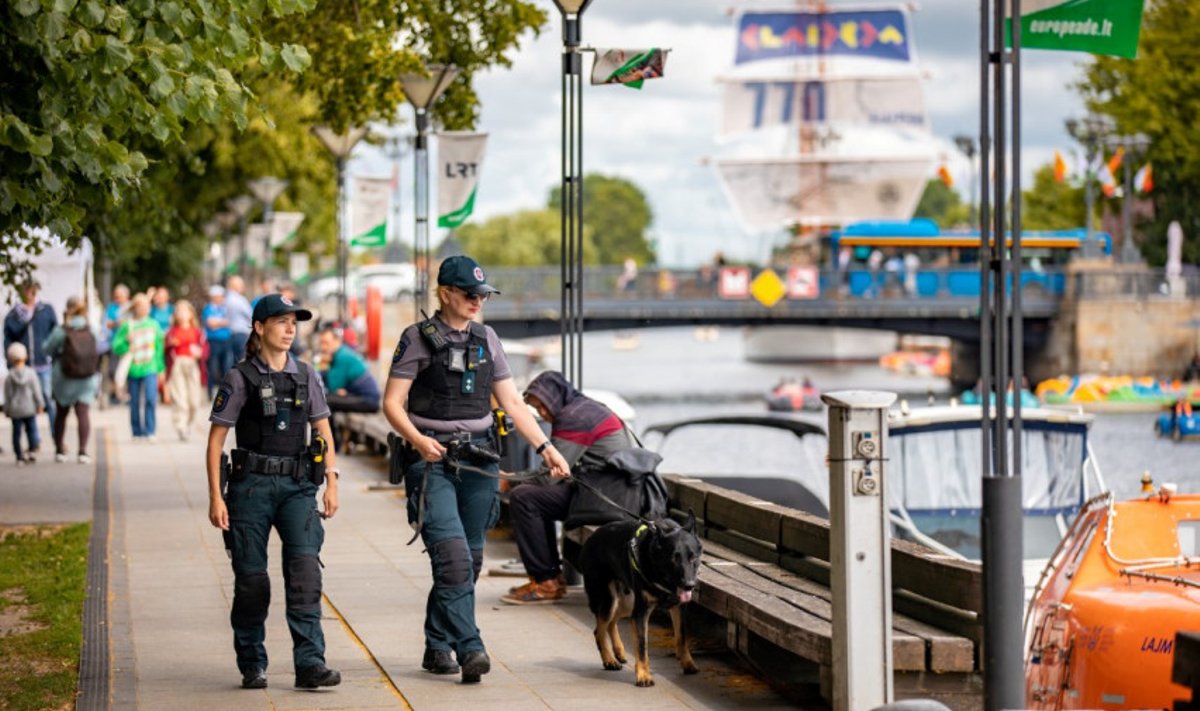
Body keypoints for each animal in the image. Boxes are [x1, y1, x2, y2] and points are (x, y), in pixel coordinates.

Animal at [578, 514, 700, 686]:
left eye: (693, 557)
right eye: (673, 559)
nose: (689, 585)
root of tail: (590, 539)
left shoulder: (678, 608)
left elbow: (681, 638)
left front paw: (688, 664)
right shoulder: (641, 613)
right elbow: (642, 646)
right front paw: (643, 675)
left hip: (627, 603)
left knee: (611, 622)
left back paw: (619, 651)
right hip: (610, 600)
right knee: (599, 630)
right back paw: (609, 660)